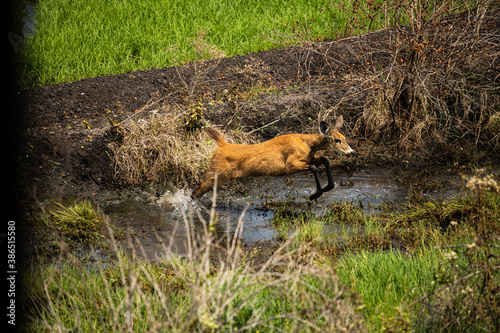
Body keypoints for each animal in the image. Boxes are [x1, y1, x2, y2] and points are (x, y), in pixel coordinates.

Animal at [189, 115, 354, 201]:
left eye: (345, 138)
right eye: (337, 140)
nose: (351, 152)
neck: (307, 145)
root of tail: (221, 145)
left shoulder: (309, 158)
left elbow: (325, 160)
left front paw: (327, 187)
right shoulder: (289, 164)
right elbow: (314, 167)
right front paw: (315, 194)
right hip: (217, 173)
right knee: (195, 193)